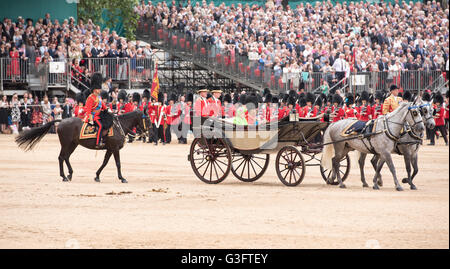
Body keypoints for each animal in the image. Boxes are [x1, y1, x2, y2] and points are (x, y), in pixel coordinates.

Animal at [15, 109, 149, 182]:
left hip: (73, 144)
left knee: (66, 157)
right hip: (66, 144)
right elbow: (118, 164)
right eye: (147, 119)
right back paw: (64, 176)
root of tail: (62, 121)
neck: (118, 126)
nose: (147, 132)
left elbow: (104, 163)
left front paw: (97, 176)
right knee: (61, 157)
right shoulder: (115, 149)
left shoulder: (110, 149)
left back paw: (69, 174)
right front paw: (122, 178)